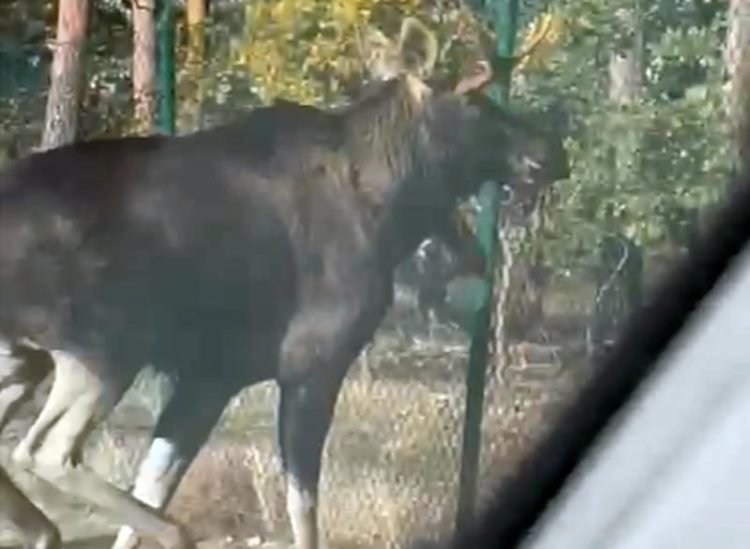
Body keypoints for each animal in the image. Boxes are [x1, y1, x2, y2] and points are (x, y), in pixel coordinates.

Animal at [0, 15, 564, 548]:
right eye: (474, 102)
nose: (549, 150)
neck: (391, 215)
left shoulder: (213, 376)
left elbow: (153, 484)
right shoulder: (312, 363)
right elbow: (303, 504)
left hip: (27, 357)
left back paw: (48, 530)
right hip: (106, 347)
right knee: (41, 451)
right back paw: (156, 531)